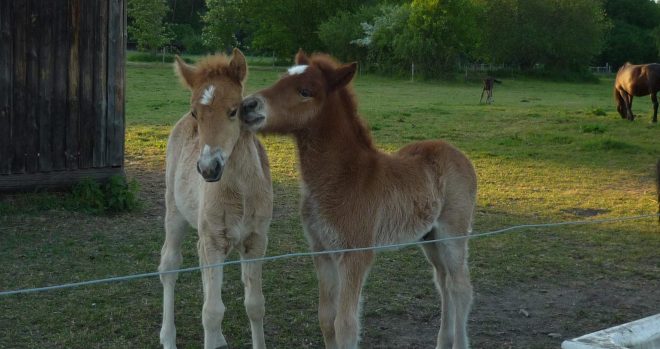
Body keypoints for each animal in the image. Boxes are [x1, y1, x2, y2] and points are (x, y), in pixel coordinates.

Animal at [160, 49, 274, 348]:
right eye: (195, 112)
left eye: (234, 110)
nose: (208, 168)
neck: (241, 193)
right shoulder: (213, 240)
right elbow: (211, 312)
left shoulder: (256, 240)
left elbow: (255, 305)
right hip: (174, 212)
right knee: (169, 265)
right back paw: (168, 337)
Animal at [240, 49, 476, 348]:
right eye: (281, 77)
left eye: (305, 91)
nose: (247, 106)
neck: (342, 178)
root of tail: (458, 154)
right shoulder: (322, 250)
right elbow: (326, 318)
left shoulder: (355, 255)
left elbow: (346, 325)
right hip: (429, 237)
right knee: (443, 282)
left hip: (452, 233)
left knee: (460, 287)